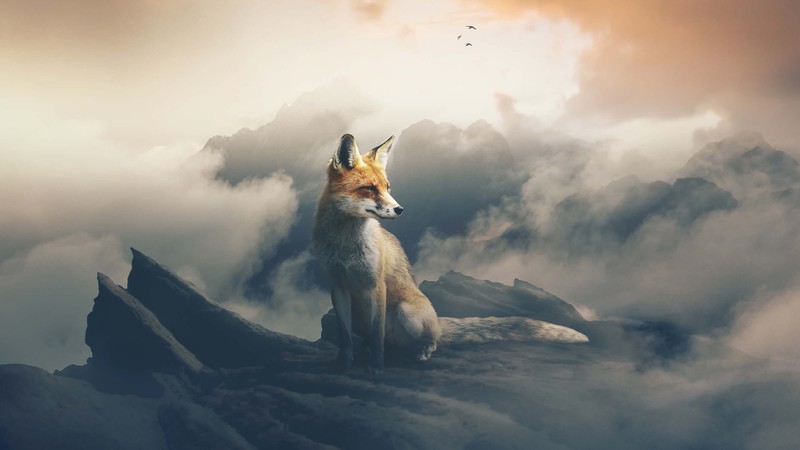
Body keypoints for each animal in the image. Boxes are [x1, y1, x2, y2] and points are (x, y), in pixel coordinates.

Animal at [312, 134, 441, 373]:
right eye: (370, 188)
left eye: (387, 187)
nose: (400, 209)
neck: (347, 249)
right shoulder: (338, 286)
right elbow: (345, 337)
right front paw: (344, 363)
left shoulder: (376, 284)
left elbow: (377, 333)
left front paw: (377, 366)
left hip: (406, 312)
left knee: (431, 339)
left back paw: (422, 350)